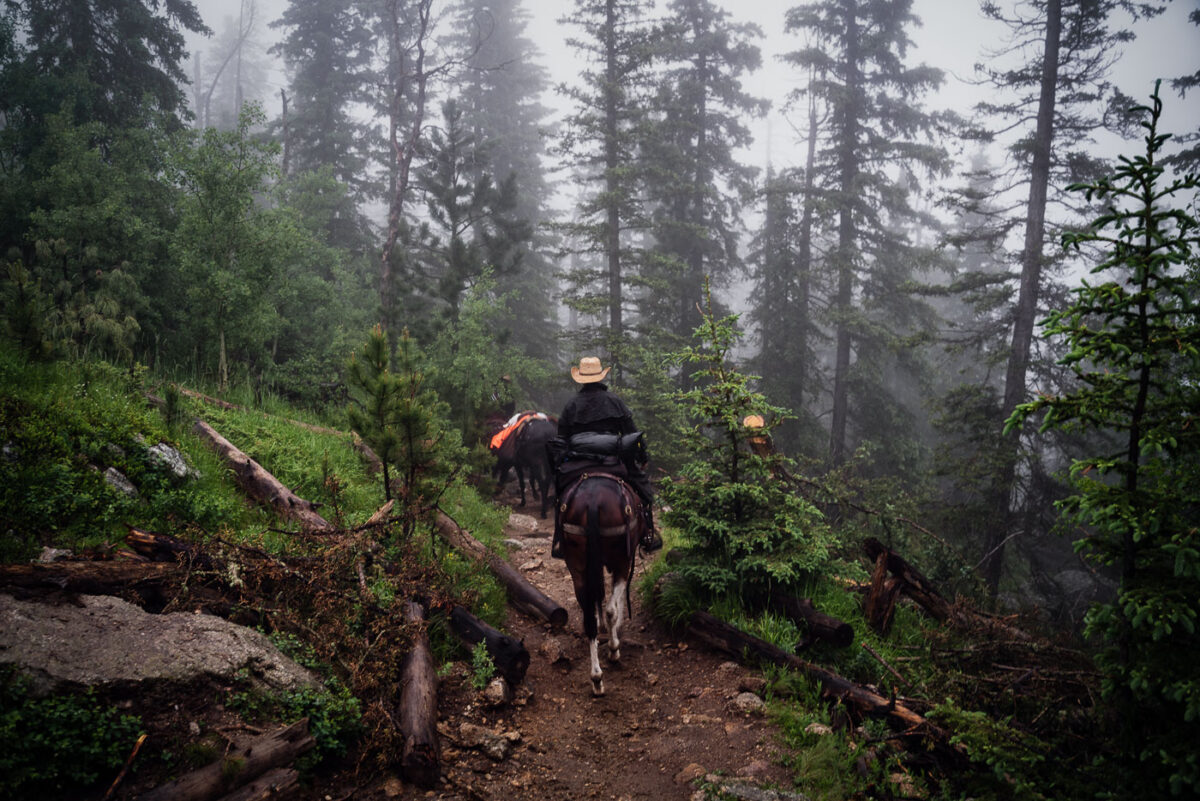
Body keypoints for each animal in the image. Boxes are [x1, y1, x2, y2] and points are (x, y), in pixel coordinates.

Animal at [556, 470, 643, 695]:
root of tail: (593, 502)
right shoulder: (623, 564)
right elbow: (614, 604)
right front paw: (614, 643)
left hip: (577, 565)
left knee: (588, 616)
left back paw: (596, 678)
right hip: (621, 560)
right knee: (611, 608)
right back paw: (612, 652)